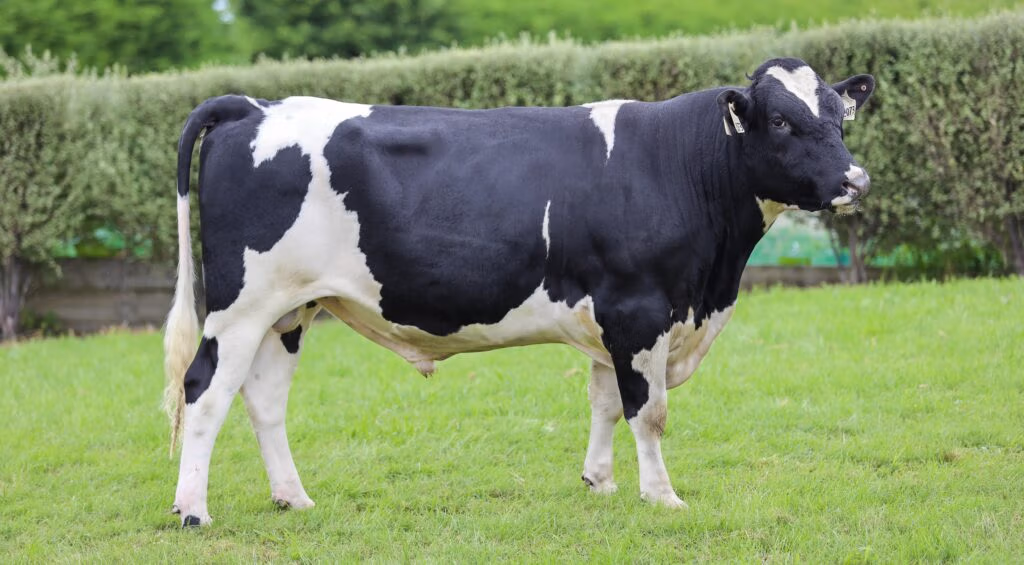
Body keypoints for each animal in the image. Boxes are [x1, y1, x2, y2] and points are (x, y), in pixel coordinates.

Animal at [164, 57, 874, 526]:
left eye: (838, 116)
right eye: (780, 121)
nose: (855, 180)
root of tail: (253, 106)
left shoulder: (610, 318)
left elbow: (605, 402)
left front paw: (600, 483)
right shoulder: (638, 309)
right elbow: (648, 411)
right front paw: (662, 496)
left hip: (289, 310)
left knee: (262, 399)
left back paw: (292, 497)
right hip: (240, 306)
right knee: (204, 391)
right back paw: (193, 512)